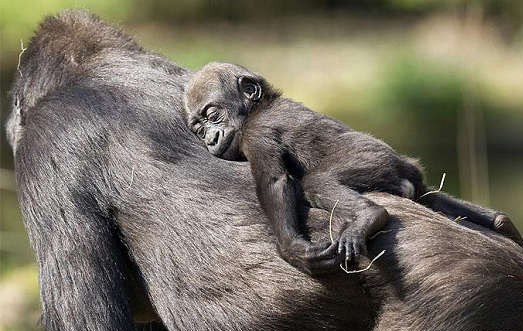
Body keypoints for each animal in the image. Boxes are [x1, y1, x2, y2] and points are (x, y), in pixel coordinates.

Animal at [183, 61, 520, 274]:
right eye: (198, 128)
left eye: (213, 115)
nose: (210, 139)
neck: (257, 108)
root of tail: (404, 165)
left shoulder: (258, 134)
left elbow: (275, 182)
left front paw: (293, 249)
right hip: (410, 176)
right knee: (431, 197)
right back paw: (501, 222)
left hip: (374, 161)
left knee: (316, 183)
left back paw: (371, 216)